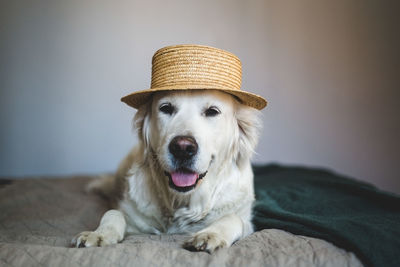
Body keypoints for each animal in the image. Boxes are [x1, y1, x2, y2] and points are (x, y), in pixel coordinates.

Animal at [71, 89, 262, 253]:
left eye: (212, 111)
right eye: (166, 108)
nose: (183, 148)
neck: (180, 202)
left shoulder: (246, 221)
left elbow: (234, 218)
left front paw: (210, 234)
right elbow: (113, 212)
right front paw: (99, 234)